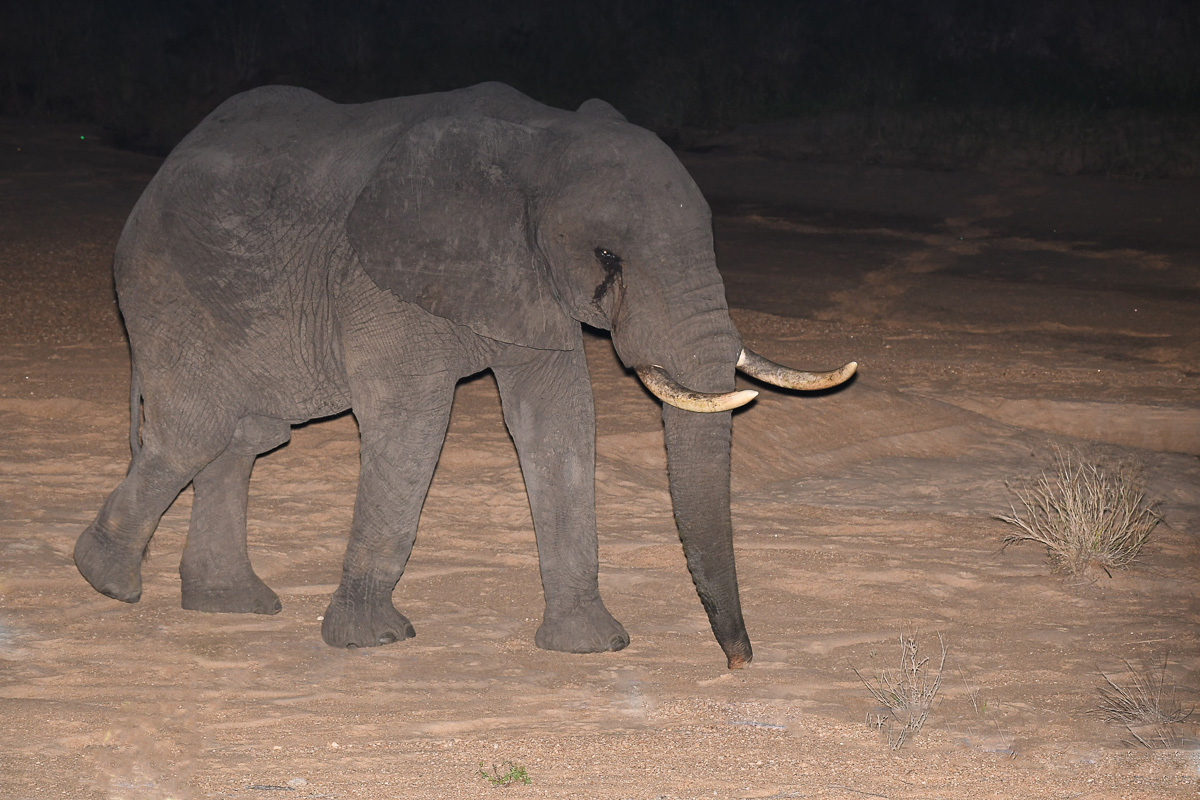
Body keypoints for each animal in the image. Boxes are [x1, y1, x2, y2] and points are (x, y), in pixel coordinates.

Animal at [73, 82, 855, 669]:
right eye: (607, 255)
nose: (738, 663)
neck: (539, 137)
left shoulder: (531, 284)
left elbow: (558, 424)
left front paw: (591, 647)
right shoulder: (380, 279)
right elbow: (413, 424)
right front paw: (374, 641)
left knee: (242, 438)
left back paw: (228, 604)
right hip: (171, 288)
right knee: (197, 432)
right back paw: (106, 581)